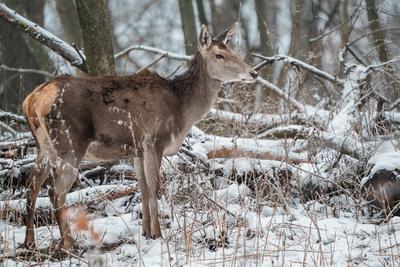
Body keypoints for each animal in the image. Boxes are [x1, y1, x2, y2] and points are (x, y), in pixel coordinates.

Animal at [21, 23, 258, 251]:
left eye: (233, 50)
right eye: (219, 55)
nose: (254, 73)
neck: (182, 109)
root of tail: (31, 100)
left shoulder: (137, 149)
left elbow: (142, 187)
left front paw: (146, 232)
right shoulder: (154, 141)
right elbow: (154, 187)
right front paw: (158, 234)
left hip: (44, 147)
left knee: (32, 186)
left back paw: (30, 243)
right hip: (70, 144)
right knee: (55, 190)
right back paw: (69, 244)